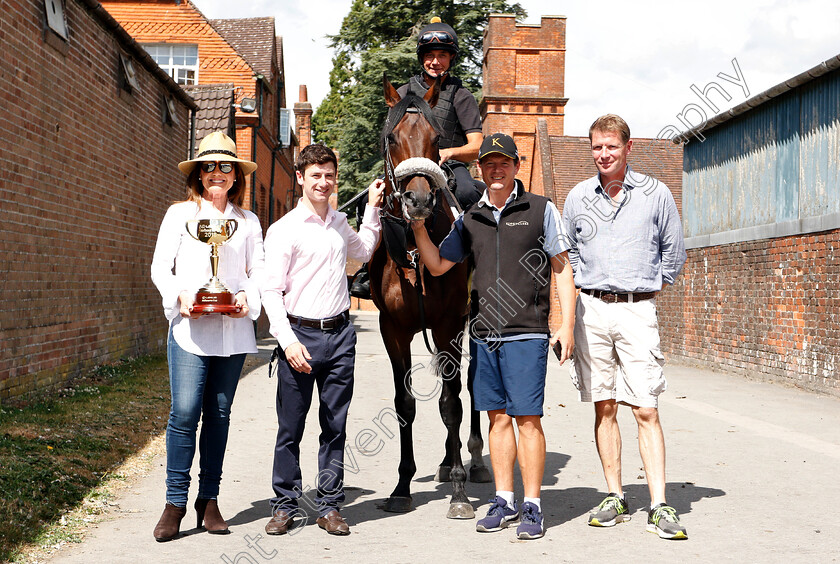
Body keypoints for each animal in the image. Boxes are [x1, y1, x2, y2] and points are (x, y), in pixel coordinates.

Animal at [370, 75, 492, 520]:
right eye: (392, 137)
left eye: (436, 138)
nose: (419, 200)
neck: (415, 250)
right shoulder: (393, 330)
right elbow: (405, 404)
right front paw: (402, 486)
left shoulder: (448, 325)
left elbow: (452, 403)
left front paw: (458, 492)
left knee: (470, 385)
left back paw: (473, 460)